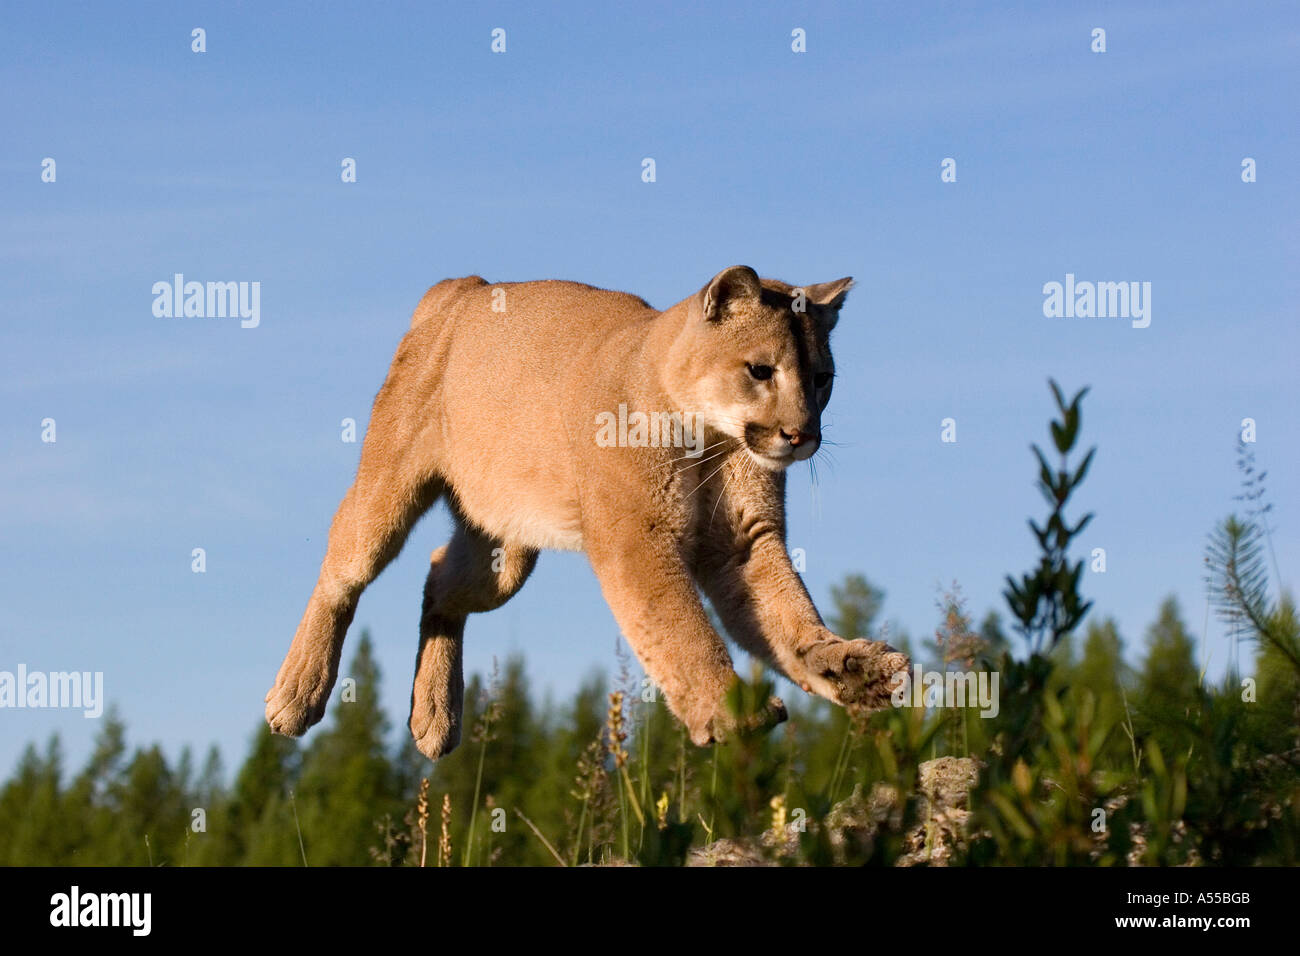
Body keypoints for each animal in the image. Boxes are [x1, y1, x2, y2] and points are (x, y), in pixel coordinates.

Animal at [266, 265, 904, 759]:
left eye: (822, 379)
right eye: (761, 370)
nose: (802, 435)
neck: (709, 437)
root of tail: (464, 286)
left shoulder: (744, 541)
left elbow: (785, 614)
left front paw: (846, 665)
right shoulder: (638, 536)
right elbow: (683, 628)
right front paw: (729, 711)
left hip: (503, 553)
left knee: (439, 580)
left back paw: (434, 716)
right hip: (387, 486)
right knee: (343, 568)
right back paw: (297, 693)